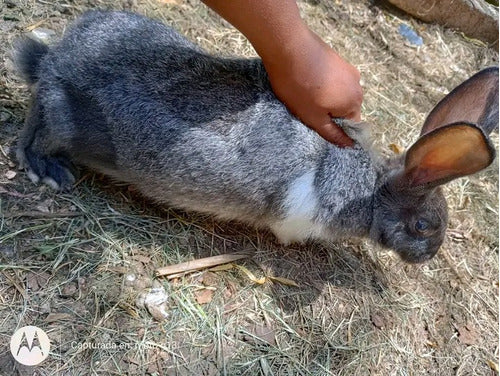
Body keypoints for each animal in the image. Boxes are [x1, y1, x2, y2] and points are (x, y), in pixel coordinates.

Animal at [11, 10, 496, 262]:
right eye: (422, 226)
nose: (428, 256)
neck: (372, 190)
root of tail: (52, 62)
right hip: (64, 117)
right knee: (38, 128)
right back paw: (48, 170)